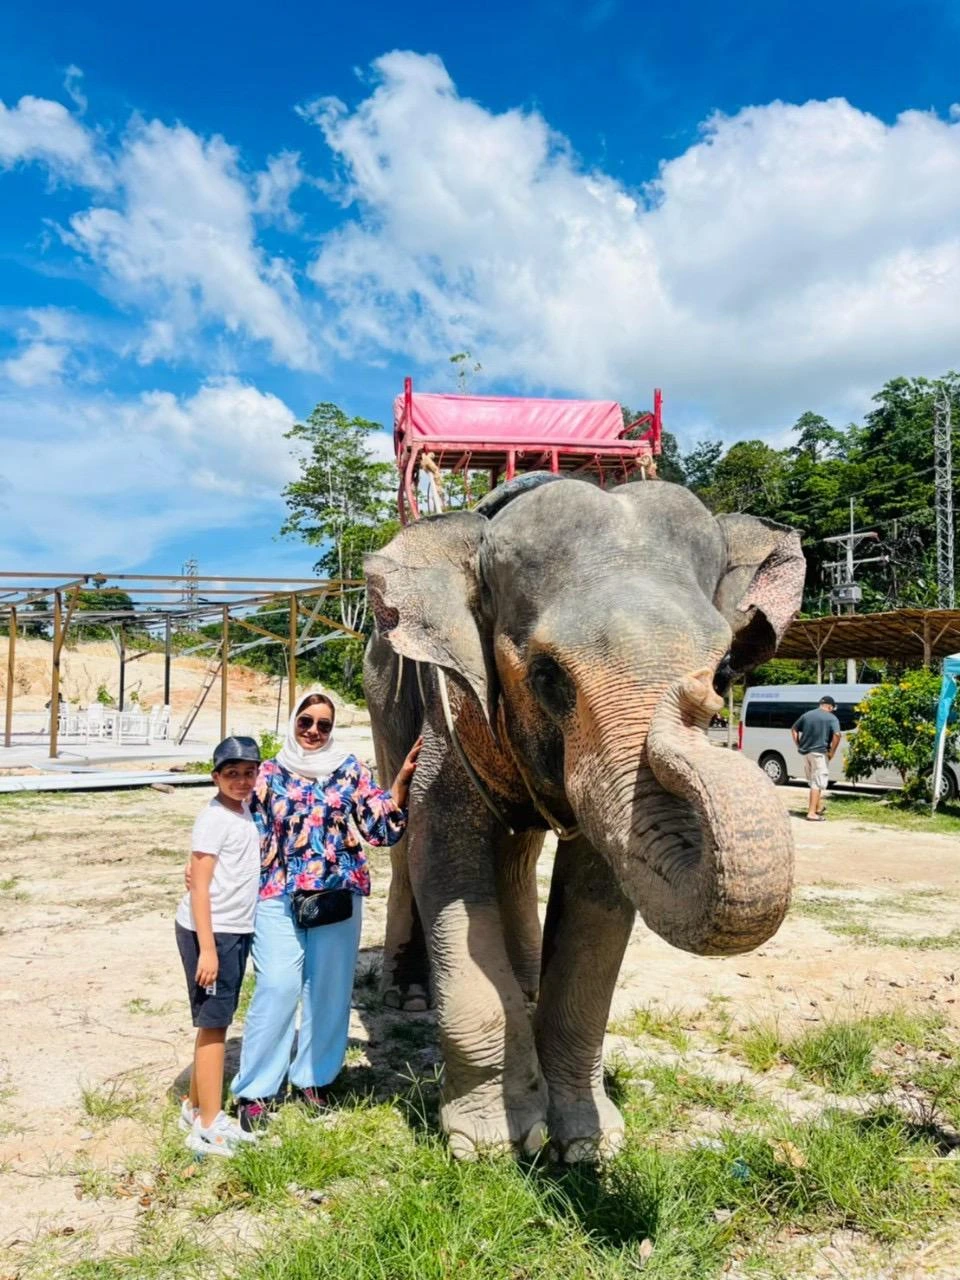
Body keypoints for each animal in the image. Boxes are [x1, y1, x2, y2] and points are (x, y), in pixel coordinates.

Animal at [362, 474, 805, 1161]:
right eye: (549, 676)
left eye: (725, 668)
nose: (697, 697)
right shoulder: (450, 707)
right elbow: (442, 849)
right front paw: (492, 1146)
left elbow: (600, 892)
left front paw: (586, 1145)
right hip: (383, 701)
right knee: (408, 840)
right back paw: (407, 994)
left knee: (516, 849)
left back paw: (525, 984)